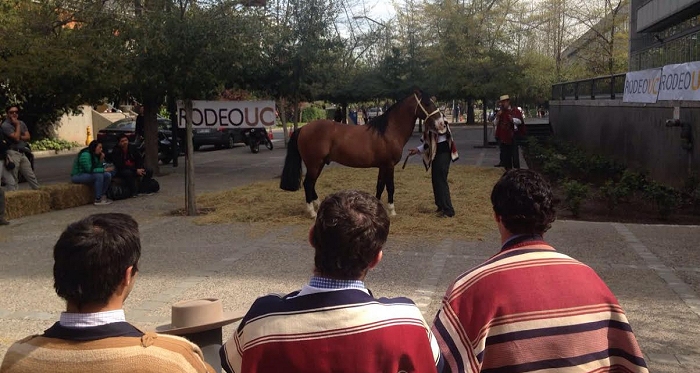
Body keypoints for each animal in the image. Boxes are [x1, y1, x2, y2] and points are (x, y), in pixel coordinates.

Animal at [278, 90, 442, 217]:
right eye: (427, 103)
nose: (441, 123)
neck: (389, 131)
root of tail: (303, 129)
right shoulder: (389, 165)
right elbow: (390, 187)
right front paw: (392, 211)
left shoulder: (382, 166)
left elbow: (380, 186)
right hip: (314, 164)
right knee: (308, 184)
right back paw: (312, 212)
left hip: (319, 164)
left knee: (311, 184)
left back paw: (319, 205)